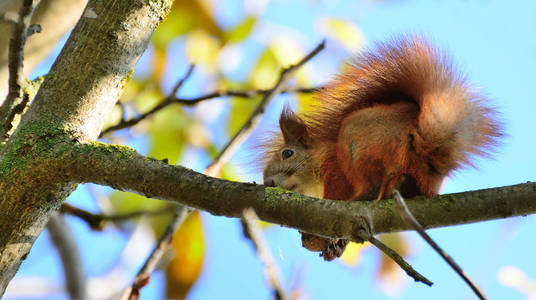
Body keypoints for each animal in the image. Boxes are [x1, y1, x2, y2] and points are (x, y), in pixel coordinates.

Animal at [262, 36, 500, 262]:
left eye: (287, 153)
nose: (268, 183)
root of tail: (420, 145)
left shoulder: (335, 168)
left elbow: (338, 193)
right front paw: (334, 246)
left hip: (359, 141)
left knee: (372, 186)